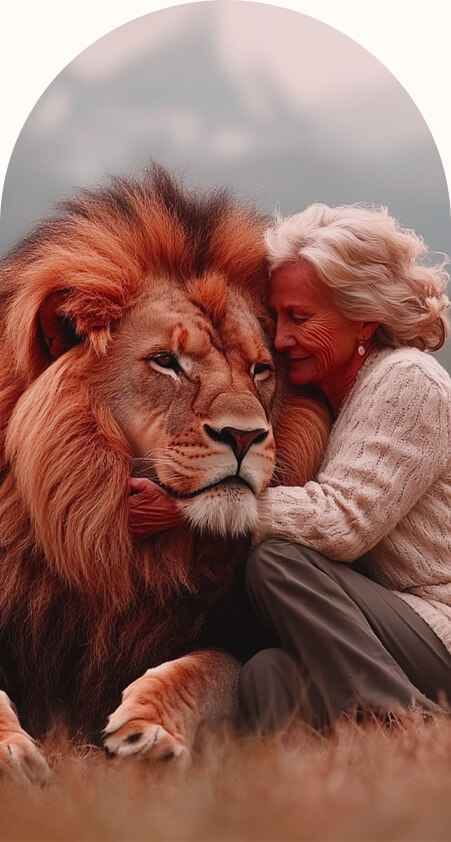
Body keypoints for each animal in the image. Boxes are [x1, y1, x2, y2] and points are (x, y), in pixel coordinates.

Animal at [0, 166, 330, 782]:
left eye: (260, 369)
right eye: (166, 362)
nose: (244, 436)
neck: (115, 547)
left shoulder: (236, 632)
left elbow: (209, 669)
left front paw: (147, 731)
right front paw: (12, 753)